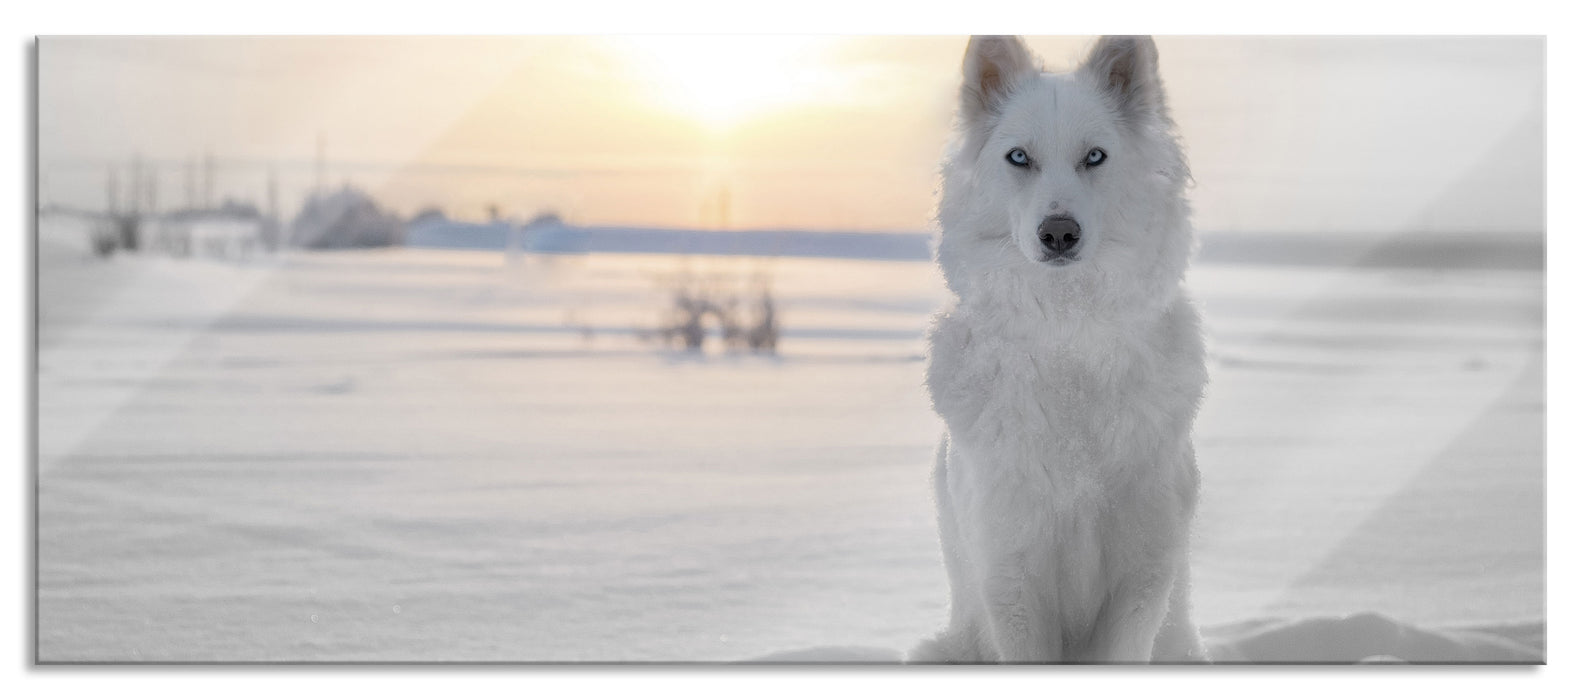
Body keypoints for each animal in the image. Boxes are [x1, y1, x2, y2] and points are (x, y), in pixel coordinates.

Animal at [909, 35, 1209, 663]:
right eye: (1019, 157)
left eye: (1094, 157)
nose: (1059, 234)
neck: (1068, 337)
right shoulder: (1012, 574)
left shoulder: (1142, 574)